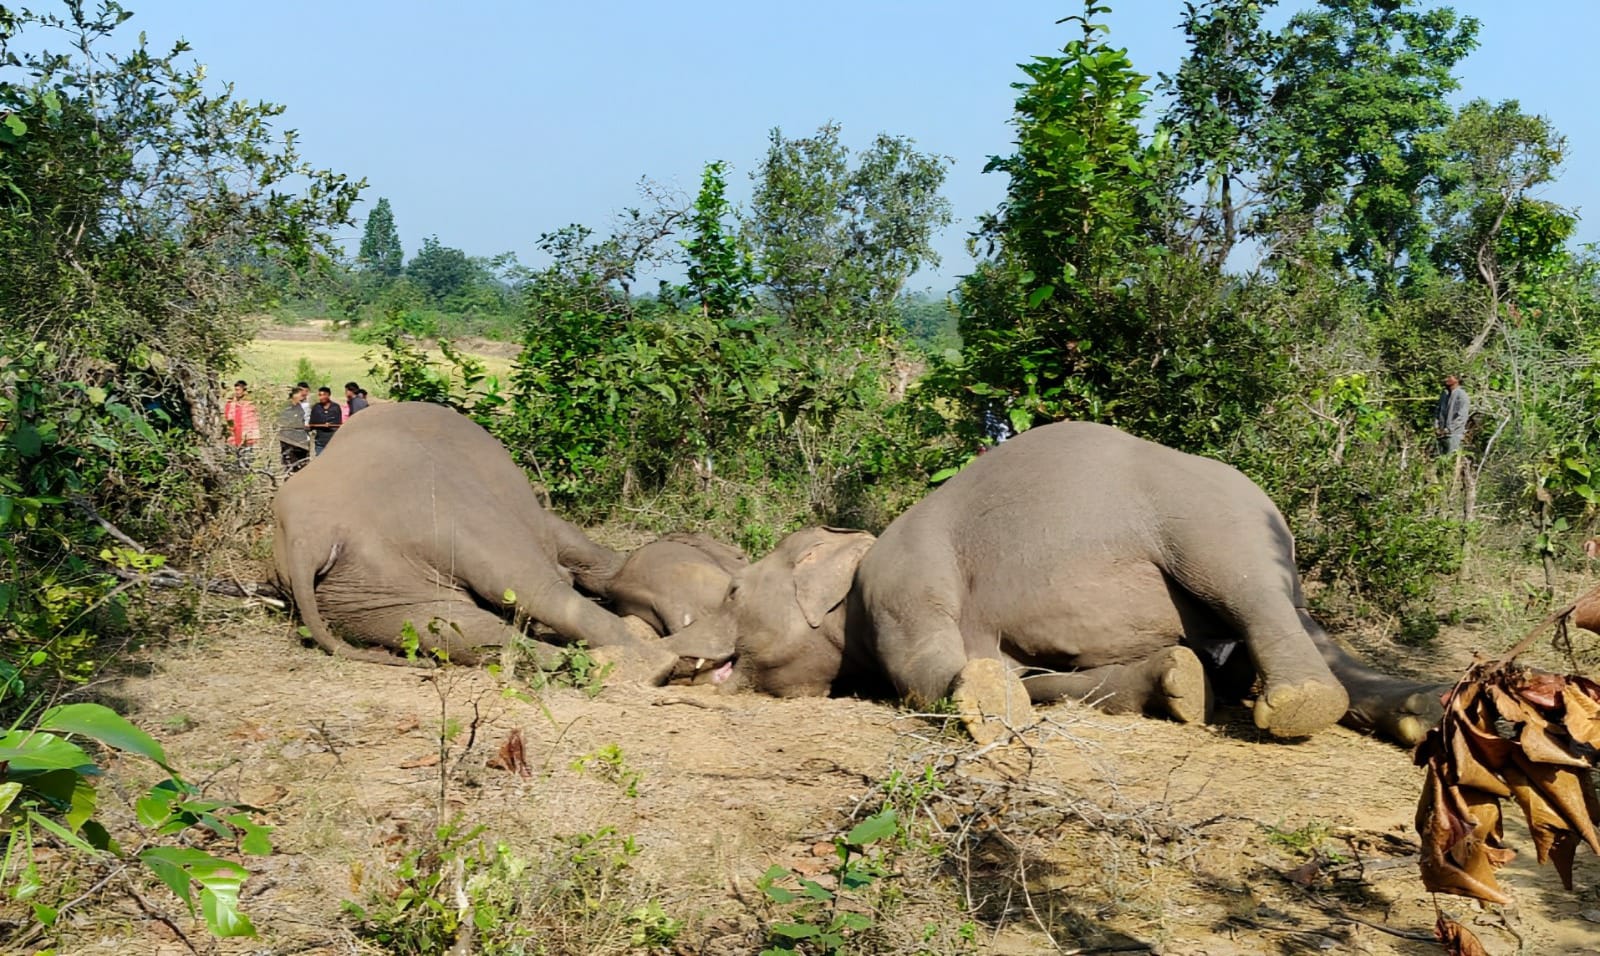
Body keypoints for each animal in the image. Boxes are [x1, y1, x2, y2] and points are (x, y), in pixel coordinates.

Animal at [270, 404, 732, 681]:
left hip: (362, 588)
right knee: (536, 587)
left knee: (453, 629)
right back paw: (674, 658)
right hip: (450, 518)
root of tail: (308, 534)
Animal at [662, 422, 1452, 748]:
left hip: (1215, 520)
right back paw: (1427, 714)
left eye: (732, 594)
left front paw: (981, 699)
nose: (671, 658)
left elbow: (919, 666)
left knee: (1253, 596)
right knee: (1320, 636)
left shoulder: (902, 575)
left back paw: (1299, 706)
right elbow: (1051, 680)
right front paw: (1180, 684)